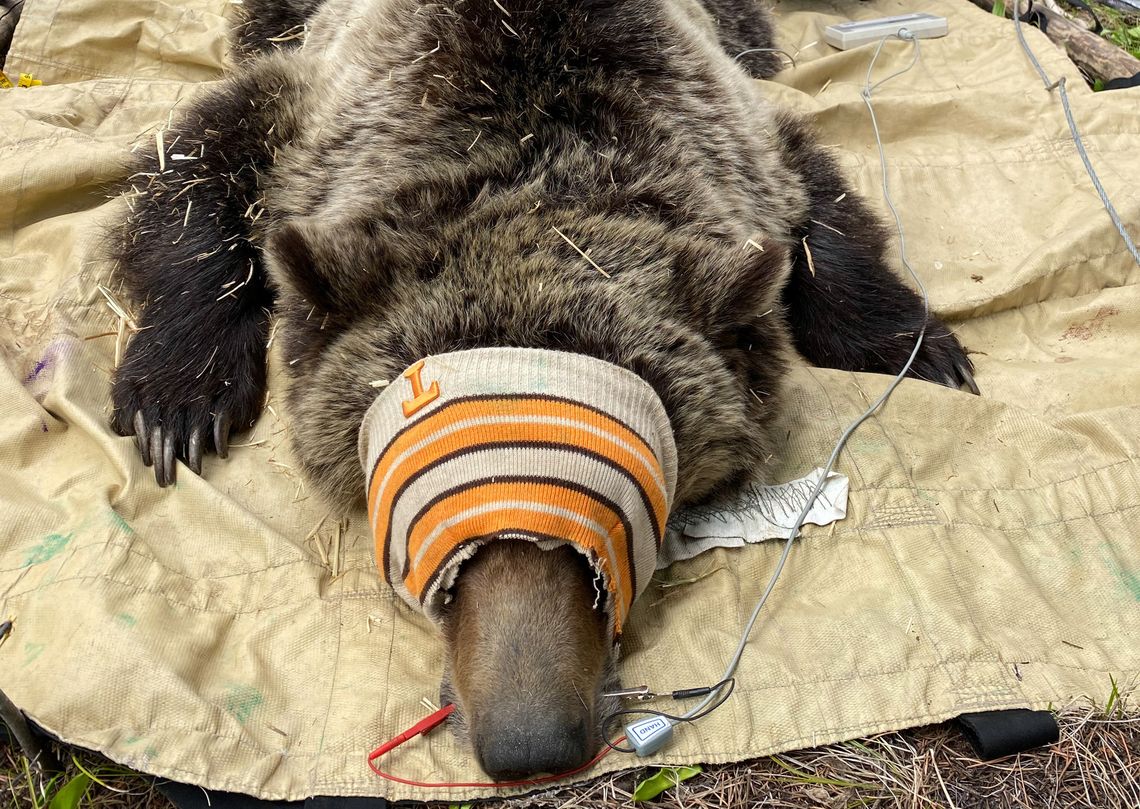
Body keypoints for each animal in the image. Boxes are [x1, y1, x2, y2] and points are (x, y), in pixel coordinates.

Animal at [108, 0, 976, 780]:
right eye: (429, 527)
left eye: (614, 521)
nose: (530, 744)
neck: (531, 155)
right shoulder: (318, 112)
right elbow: (193, 163)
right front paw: (176, 402)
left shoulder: (738, 133)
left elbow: (819, 205)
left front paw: (923, 348)